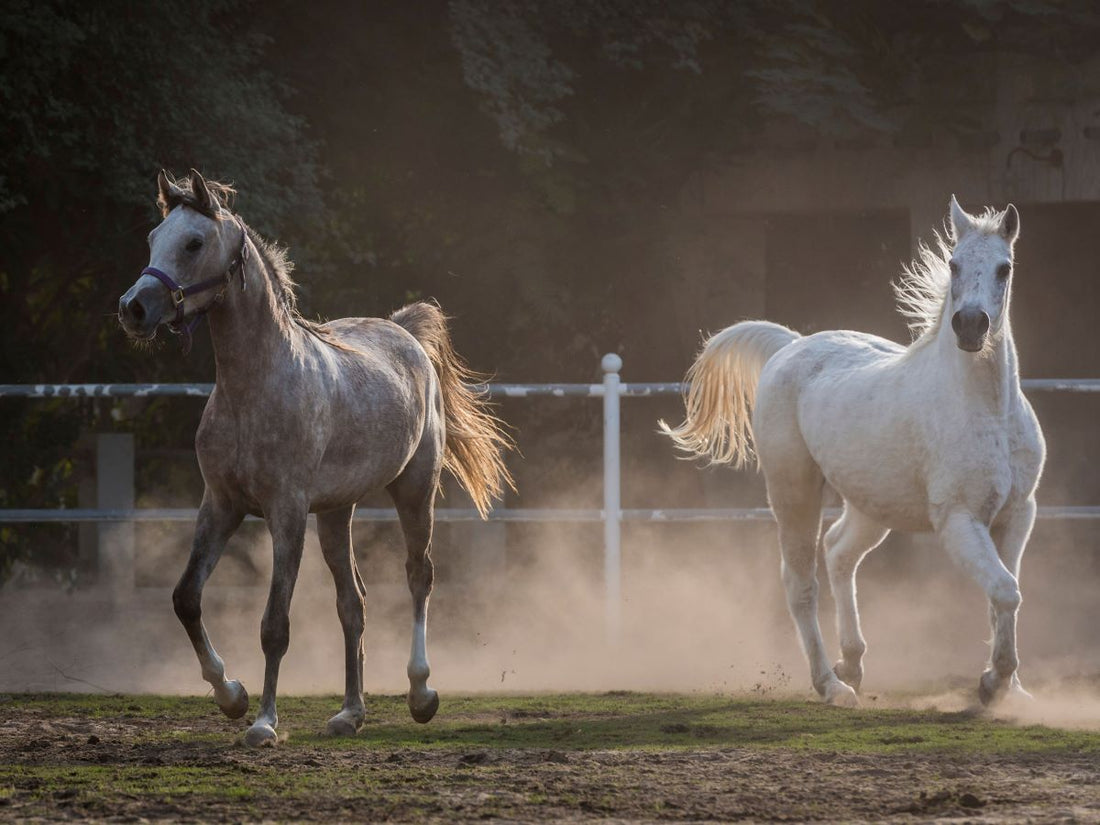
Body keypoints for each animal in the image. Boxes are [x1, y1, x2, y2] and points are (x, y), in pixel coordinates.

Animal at [118, 169, 513, 746]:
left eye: (193, 242)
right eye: (153, 238)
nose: (134, 308)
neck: (254, 387)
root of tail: (405, 332)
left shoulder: (286, 513)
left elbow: (274, 624)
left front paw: (263, 722)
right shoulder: (221, 505)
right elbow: (186, 597)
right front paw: (231, 695)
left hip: (415, 490)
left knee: (419, 576)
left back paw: (421, 694)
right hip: (335, 513)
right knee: (353, 602)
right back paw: (350, 712)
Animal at [661, 197, 1044, 707]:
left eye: (1005, 268)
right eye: (953, 263)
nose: (969, 326)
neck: (988, 411)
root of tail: (790, 347)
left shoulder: (1018, 514)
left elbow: (1005, 595)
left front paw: (1012, 692)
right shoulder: (959, 520)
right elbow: (1005, 591)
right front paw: (991, 685)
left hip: (870, 507)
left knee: (838, 551)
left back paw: (853, 663)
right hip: (794, 493)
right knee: (801, 583)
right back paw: (832, 684)